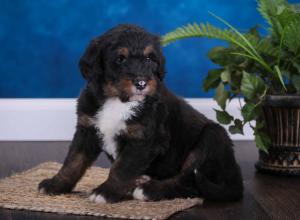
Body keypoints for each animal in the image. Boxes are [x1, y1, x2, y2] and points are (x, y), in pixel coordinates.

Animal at [37, 23, 244, 203]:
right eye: (120, 59)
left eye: (149, 58)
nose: (142, 83)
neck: (118, 100)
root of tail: (236, 176)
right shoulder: (87, 128)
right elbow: (73, 160)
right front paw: (55, 184)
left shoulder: (145, 139)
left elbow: (122, 168)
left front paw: (106, 191)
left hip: (211, 138)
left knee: (189, 181)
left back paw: (149, 190)